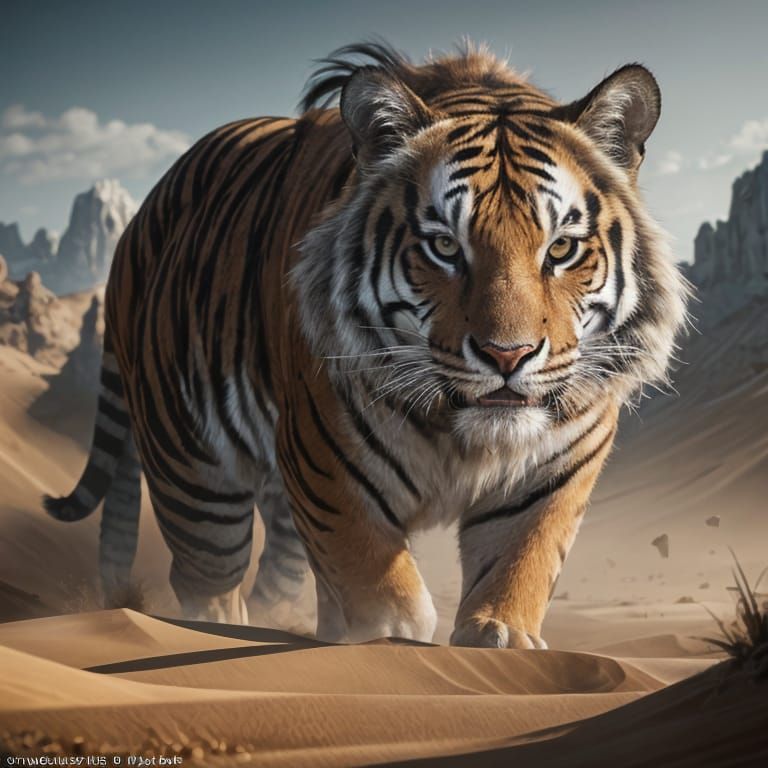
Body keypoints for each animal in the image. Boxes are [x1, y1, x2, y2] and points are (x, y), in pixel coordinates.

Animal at [45, 42, 687, 647]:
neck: (464, 440)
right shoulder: (328, 461)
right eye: (444, 247)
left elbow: (519, 563)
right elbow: (379, 585)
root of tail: (142, 217)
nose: (508, 355)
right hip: (193, 475)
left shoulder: (555, 469)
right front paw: (390, 639)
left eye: (561, 249)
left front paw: (500, 635)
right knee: (209, 584)